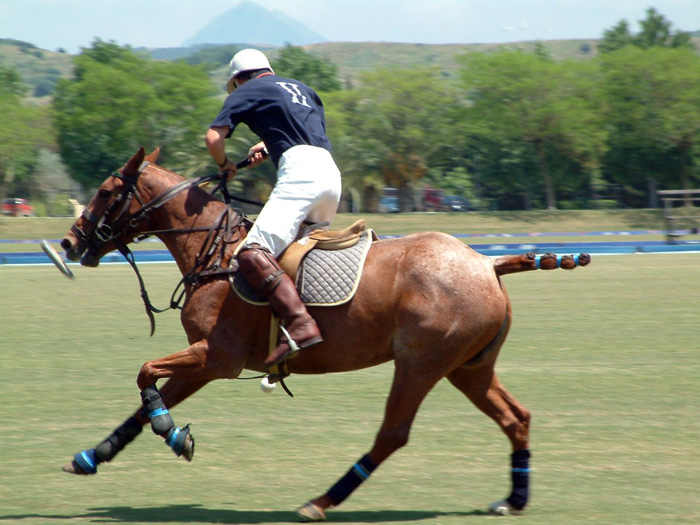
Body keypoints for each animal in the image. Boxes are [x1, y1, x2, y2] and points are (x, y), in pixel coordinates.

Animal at [60, 147, 588, 520]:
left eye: (106, 191)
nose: (69, 242)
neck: (216, 254)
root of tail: (487, 262)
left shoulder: (218, 357)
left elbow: (144, 372)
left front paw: (173, 433)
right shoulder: (206, 362)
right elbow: (143, 401)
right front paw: (91, 456)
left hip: (421, 363)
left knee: (393, 433)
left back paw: (322, 500)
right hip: (468, 366)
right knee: (516, 417)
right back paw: (514, 498)